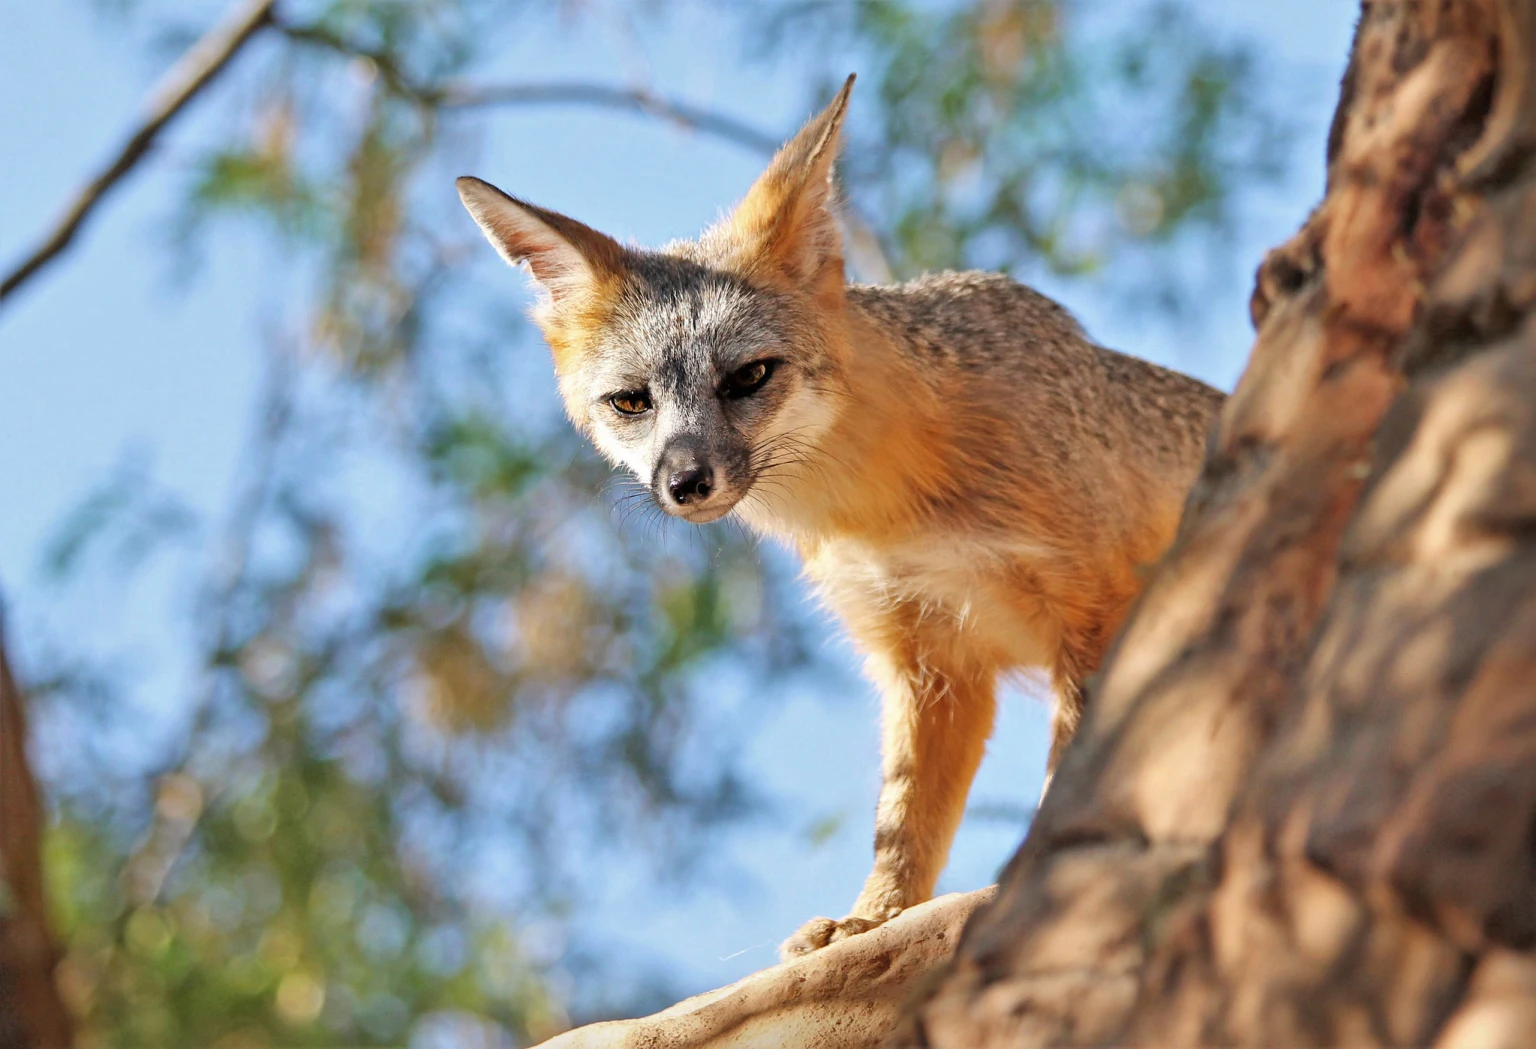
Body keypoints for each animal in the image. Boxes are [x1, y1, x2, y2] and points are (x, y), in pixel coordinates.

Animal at [454, 73, 1222, 958]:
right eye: (631, 403)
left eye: (749, 376)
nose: (685, 481)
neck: (890, 513)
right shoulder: (927, 658)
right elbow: (905, 819)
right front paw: (875, 917)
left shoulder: (1093, 611)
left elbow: (1070, 776)